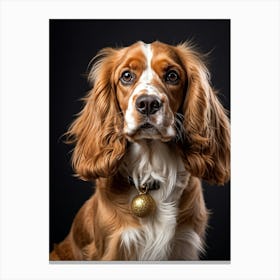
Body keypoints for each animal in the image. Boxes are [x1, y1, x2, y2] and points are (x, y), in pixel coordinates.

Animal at [49, 40, 230, 262]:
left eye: (172, 75)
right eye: (126, 76)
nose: (148, 103)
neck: (150, 172)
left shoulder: (183, 245)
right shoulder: (114, 246)